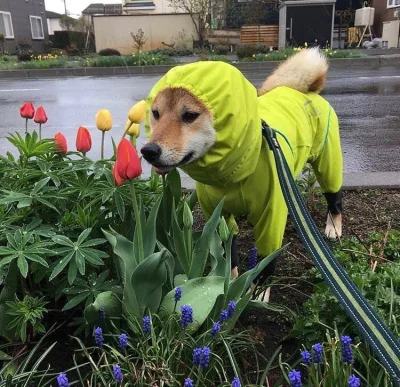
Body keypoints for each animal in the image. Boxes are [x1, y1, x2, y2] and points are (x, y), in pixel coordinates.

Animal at [141, 48, 344, 302]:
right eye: (156, 114)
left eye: (189, 115)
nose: (148, 150)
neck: (231, 174)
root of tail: (303, 90)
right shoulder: (218, 214)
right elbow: (228, 252)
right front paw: (227, 282)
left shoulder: (270, 219)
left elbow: (266, 260)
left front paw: (257, 292)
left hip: (328, 161)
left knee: (334, 196)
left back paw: (333, 227)